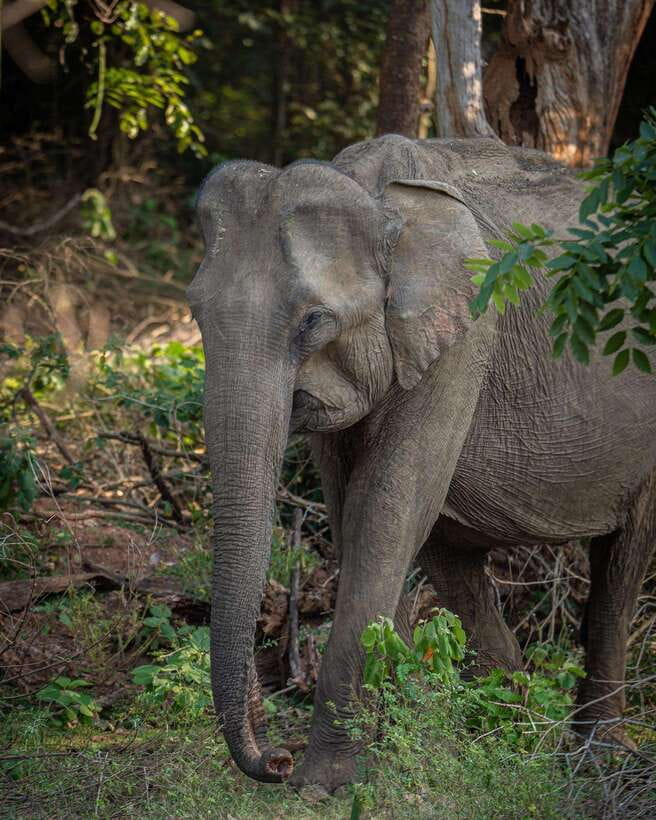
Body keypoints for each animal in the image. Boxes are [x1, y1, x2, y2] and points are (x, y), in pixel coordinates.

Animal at [187, 134, 656, 793]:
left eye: (314, 321)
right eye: (195, 313)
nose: (275, 760)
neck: (376, 197)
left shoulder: (469, 330)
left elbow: (384, 507)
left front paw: (324, 783)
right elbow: (355, 514)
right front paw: (378, 756)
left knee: (622, 564)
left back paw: (597, 758)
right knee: (451, 557)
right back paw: (507, 729)